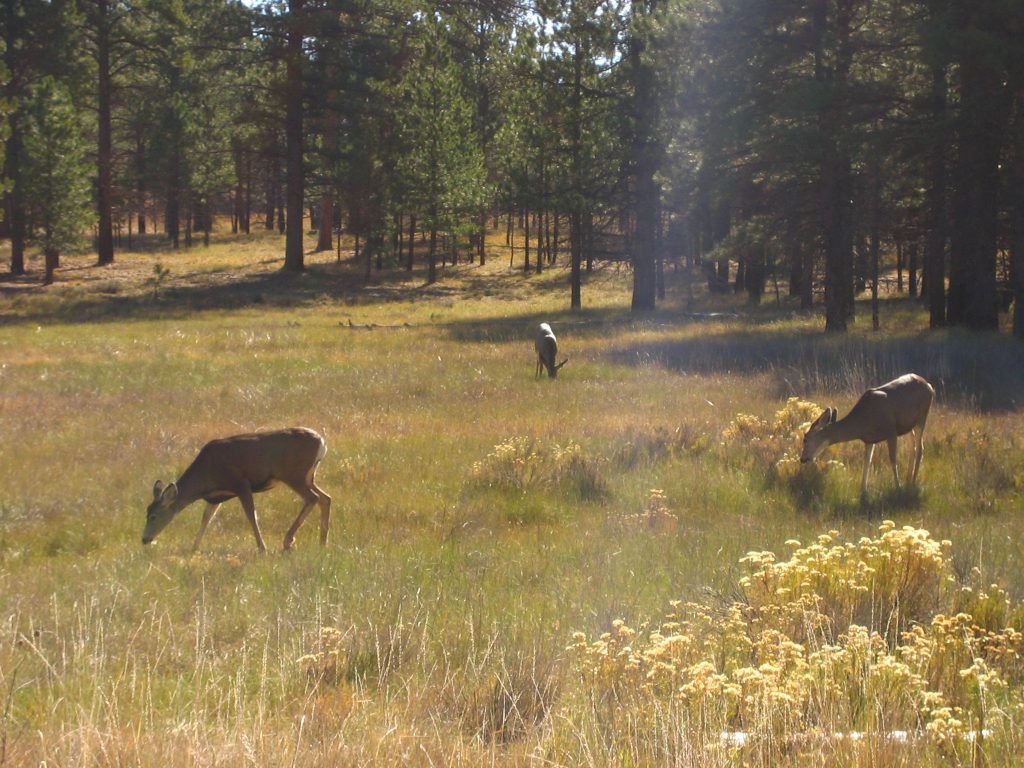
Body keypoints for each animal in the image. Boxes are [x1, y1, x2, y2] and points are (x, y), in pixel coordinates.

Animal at [144, 428, 331, 552]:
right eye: (147, 513)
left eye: (153, 516)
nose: (144, 539)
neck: (205, 477)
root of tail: (321, 442)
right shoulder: (217, 497)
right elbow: (206, 518)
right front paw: (194, 548)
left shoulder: (241, 483)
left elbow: (251, 515)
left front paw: (262, 548)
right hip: (309, 476)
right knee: (326, 498)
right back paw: (322, 542)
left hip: (294, 474)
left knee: (313, 498)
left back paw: (288, 541)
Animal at [798, 374, 937, 495]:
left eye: (805, 438)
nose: (803, 459)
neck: (863, 422)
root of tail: (930, 386)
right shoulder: (869, 440)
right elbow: (867, 463)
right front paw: (863, 491)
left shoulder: (891, 430)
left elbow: (893, 460)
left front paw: (898, 488)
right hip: (909, 426)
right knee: (913, 448)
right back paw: (909, 479)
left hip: (922, 417)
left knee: (920, 449)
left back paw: (912, 482)